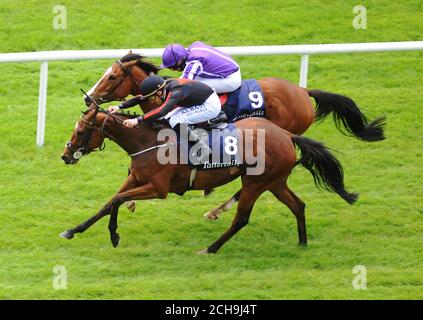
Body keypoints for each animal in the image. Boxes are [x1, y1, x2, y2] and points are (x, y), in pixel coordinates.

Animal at [59, 106, 358, 254]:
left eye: (82, 130)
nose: (66, 155)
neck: (148, 142)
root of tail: (286, 134)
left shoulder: (158, 188)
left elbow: (119, 200)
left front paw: (114, 235)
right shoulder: (136, 178)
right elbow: (109, 203)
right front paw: (73, 230)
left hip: (255, 183)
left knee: (241, 219)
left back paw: (211, 248)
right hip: (275, 182)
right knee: (298, 205)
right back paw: (302, 243)